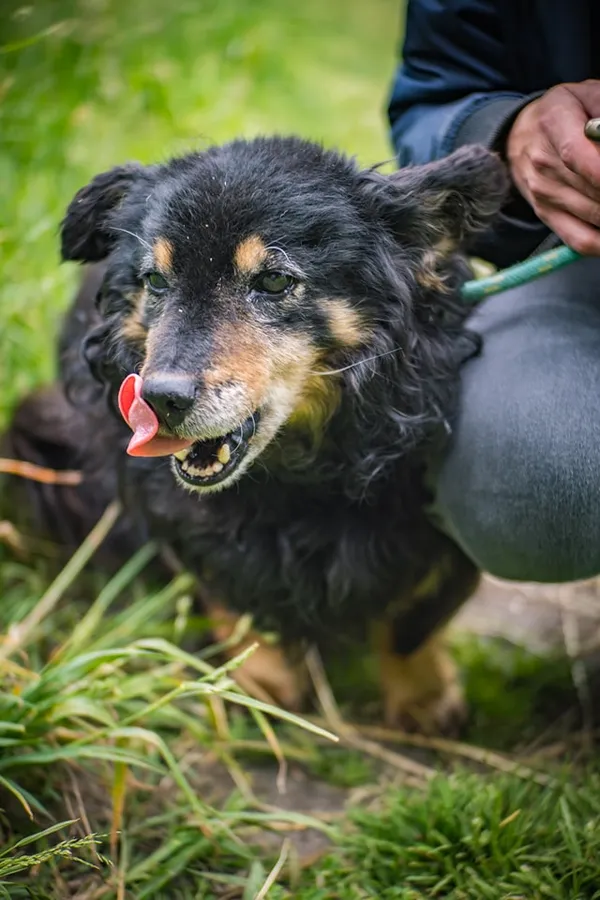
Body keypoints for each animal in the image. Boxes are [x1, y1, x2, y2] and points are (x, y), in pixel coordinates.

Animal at [7, 137, 508, 736]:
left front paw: (423, 697)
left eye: (273, 281)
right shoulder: (179, 517)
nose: (158, 399)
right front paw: (257, 683)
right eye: (156, 281)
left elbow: (416, 620)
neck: (299, 476)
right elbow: (227, 590)